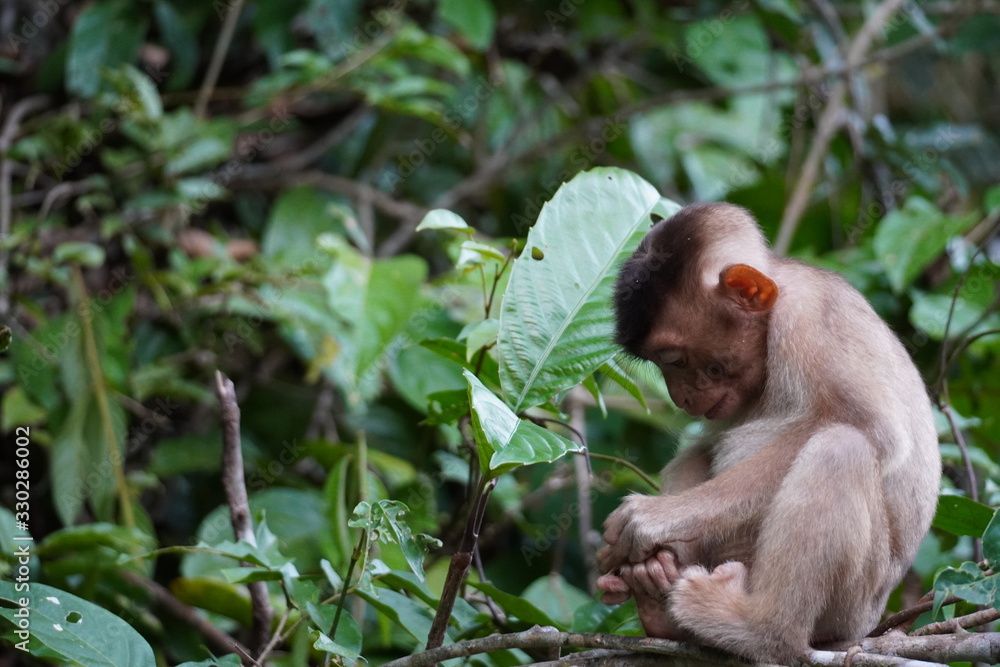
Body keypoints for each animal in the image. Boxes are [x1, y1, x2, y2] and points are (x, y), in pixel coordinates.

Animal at [595, 203, 941, 664]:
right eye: (662, 363)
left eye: (673, 358)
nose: (680, 397)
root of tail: (871, 620)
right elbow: (707, 445)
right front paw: (650, 561)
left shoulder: (810, 317)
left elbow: (875, 427)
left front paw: (651, 519)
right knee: (701, 452)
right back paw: (658, 594)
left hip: (851, 607)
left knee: (841, 448)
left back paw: (762, 631)